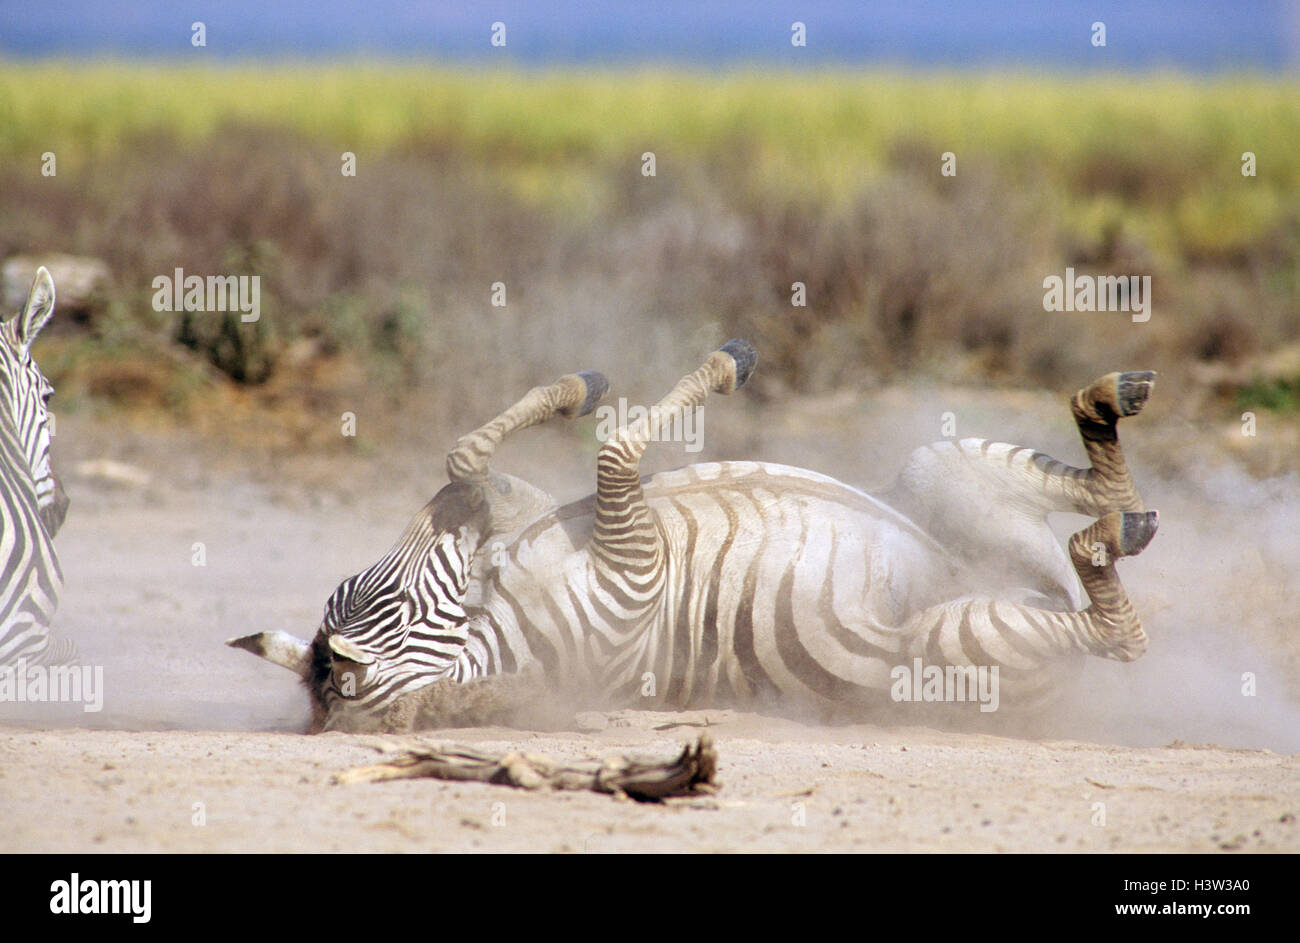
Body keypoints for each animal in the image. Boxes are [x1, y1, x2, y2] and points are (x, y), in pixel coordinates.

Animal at [229, 340, 1159, 732]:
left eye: (355, 586)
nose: (451, 520)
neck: (488, 636)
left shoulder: (538, 512)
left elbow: (471, 453)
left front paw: (578, 386)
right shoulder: (633, 565)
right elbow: (611, 450)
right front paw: (720, 365)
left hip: (937, 472)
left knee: (1095, 500)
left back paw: (1112, 432)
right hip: (955, 635)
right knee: (1113, 627)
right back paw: (1101, 533)